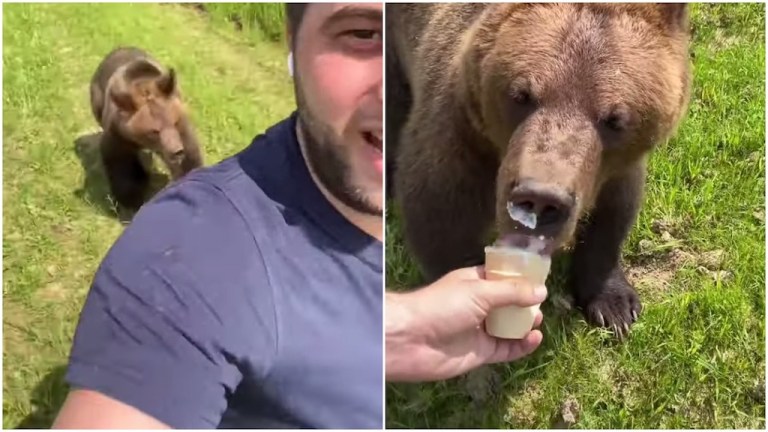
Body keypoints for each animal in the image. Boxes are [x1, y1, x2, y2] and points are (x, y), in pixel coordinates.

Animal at [89, 46, 204, 211]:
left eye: (174, 122)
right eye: (154, 131)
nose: (176, 151)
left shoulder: (182, 128)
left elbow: (189, 157)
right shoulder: (118, 133)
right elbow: (120, 164)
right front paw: (130, 200)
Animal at [388, 3, 692, 338]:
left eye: (615, 119)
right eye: (521, 95)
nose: (541, 198)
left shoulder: (615, 168)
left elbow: (615, 211)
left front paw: (615, 307)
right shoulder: (462, 134)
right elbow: (440, 216)